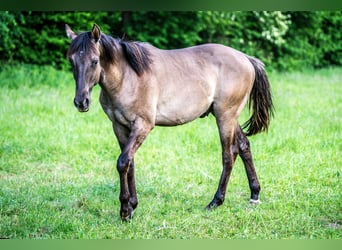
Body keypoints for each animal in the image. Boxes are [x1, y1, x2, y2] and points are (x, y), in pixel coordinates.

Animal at [66, 23, 276, 221]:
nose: (81, 102)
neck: (128, 77)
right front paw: (132, 206)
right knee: (244, 146)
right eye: (71, 60)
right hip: (230, 117)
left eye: (95, 61)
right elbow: (130, 163)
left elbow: (123, 162)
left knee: (229, 154)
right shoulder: (119, 127)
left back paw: (216, 201)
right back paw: (254, 194)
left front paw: (125, 209)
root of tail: (246, 58)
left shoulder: (143, 125)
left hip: (225, 116)